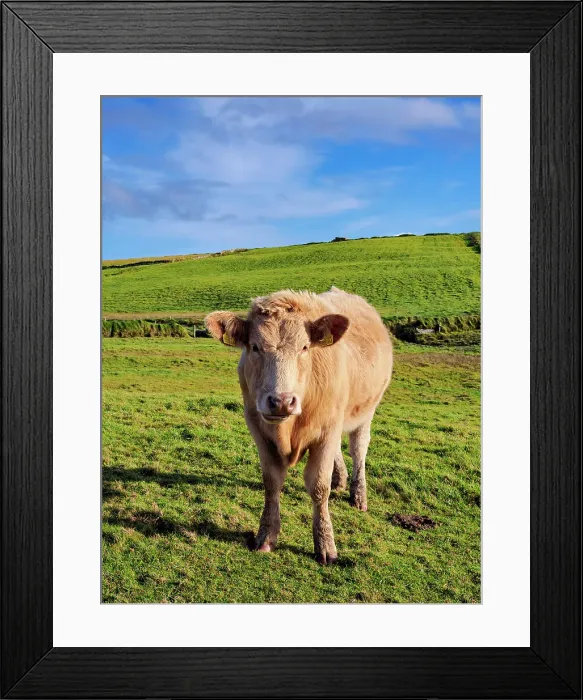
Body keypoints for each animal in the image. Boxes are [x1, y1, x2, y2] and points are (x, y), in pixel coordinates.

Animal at [205, 287, 393, 564]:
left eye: (304, 347)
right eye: (255, 347)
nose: (281, 401)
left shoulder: (327, 429)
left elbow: (319, 487)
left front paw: (325, 544)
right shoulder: (259, 431)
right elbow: (271, 482)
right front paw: (265, 536)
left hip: (365, 410)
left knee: (359, 449)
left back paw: (359, 495)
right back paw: (341, 480)